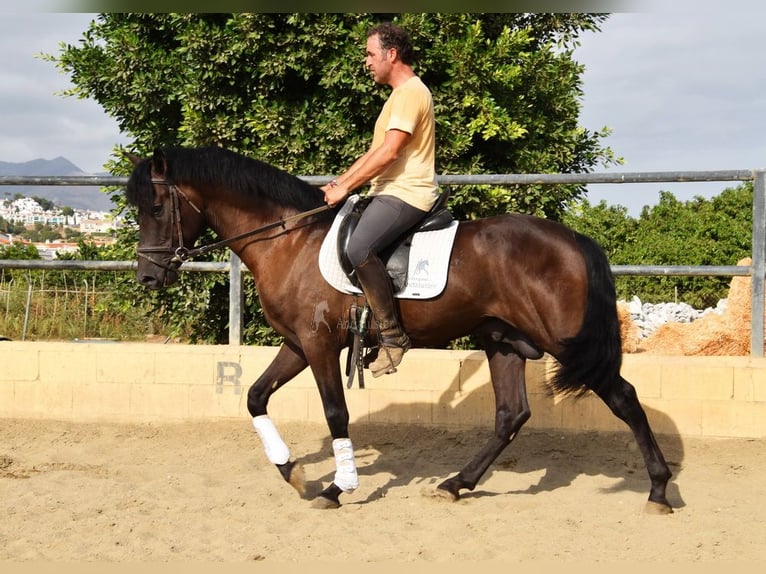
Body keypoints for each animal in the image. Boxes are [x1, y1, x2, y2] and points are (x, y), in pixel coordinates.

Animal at [125, 145, 673, 514]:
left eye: (154, 208)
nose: (148, 276)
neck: (290, 241)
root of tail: (575, 239)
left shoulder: (320, 345)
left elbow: (335, 413)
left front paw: (336, 488)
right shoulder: (297, 344)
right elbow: (255, 396)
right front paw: (293, 472)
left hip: (563, 342)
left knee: (623, 398)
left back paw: (659, 490)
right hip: (502, 341)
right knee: (510, 415)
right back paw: (456, 484)